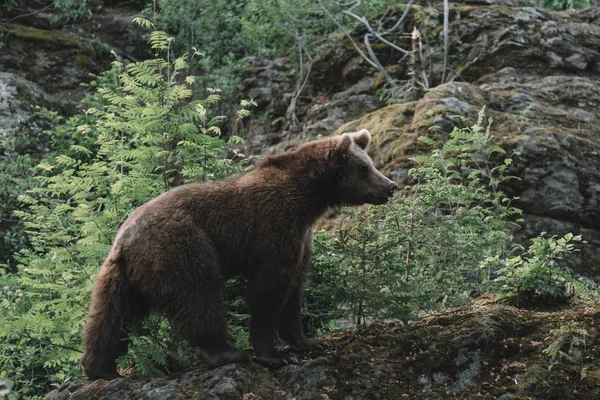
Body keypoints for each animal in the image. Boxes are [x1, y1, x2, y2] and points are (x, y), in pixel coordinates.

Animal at [81, 130, 398, 380]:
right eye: (364, 168)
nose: (390, 186)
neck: (309, 200)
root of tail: (124, 240)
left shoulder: (301, 239)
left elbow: (295, 290)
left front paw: (310, 342)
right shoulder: (273, 227)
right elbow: (268, 289)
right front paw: (275, 355)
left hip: (121, 275)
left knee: (111, 315)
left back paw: (100, 368)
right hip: (181, 248)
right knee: (199, 296)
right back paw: (227, 352)